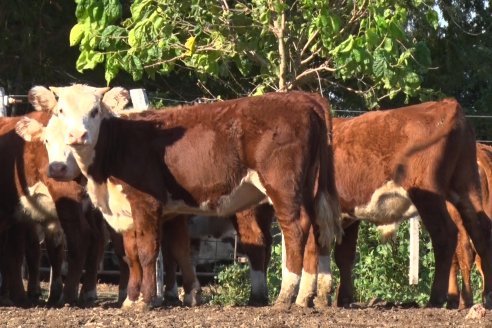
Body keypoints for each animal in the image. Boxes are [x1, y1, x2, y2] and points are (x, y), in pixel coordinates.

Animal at [19, 84, 342, 310]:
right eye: (61, 112)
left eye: (95, 111)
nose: (78, 136)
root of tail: (303, 98)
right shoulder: (128, 211)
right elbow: (134, 253)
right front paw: (131, 299)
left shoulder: (146, 203)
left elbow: (148, 251)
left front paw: (146, 300)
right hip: (310, 189)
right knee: (315, 232)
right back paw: (308, 296)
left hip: (282, 186)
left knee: (295, 229)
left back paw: (286, 296)